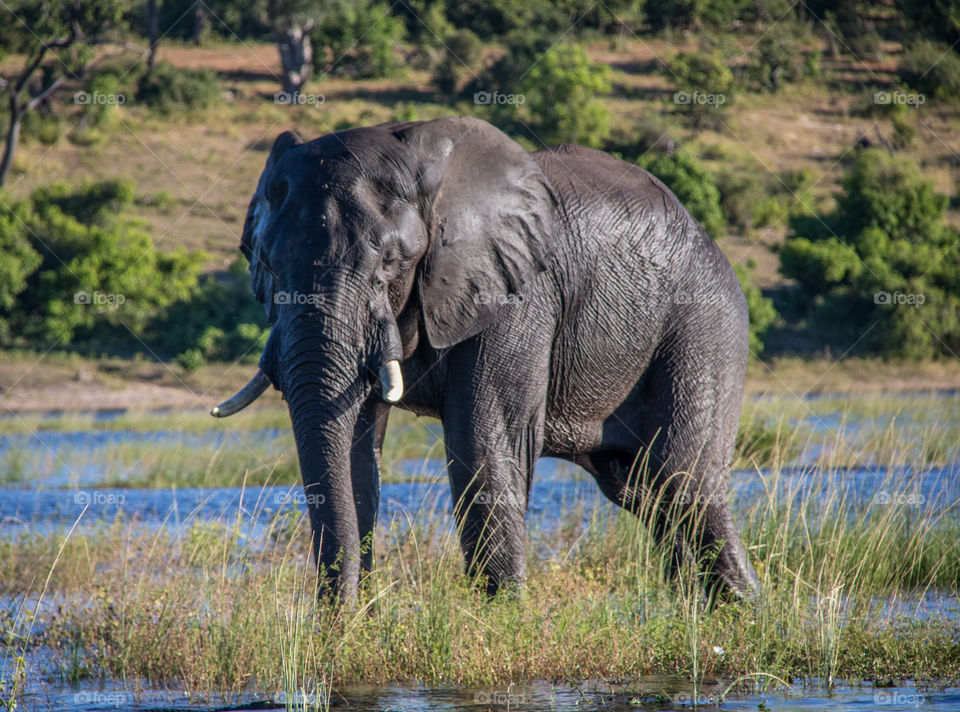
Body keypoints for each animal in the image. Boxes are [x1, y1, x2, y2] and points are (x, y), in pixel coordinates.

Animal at [214, 115, 760, 600]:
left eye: (390, 262)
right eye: (265, 265)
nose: (339, 620)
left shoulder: (520, 290)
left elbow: (483, 440)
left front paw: (503, 619)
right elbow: (357, 449)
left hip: (704, 322)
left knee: (687, 482)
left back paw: (740, 614)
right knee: (643, 492)